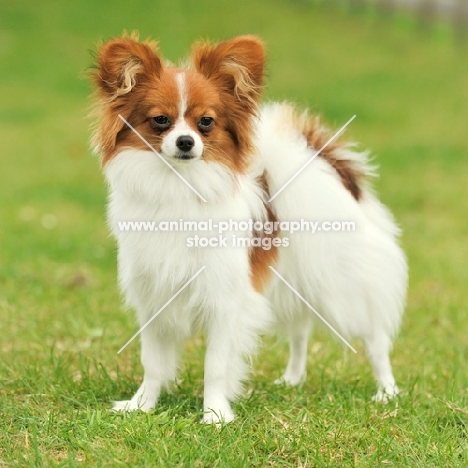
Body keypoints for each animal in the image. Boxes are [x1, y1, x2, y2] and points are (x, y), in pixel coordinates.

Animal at [90, 33, 406, 424]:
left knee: (375, 340)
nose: (185, 142)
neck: (180, 185)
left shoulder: (225, 298)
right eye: (160, 120)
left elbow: (215, 366)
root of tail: (329, 166)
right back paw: (292, 380)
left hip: (342, 291)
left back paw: (387, 392)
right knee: (300, 332)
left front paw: (214, 415)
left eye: (206, 122)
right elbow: (153, 363)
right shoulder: (154, 297)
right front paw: (142, 406)